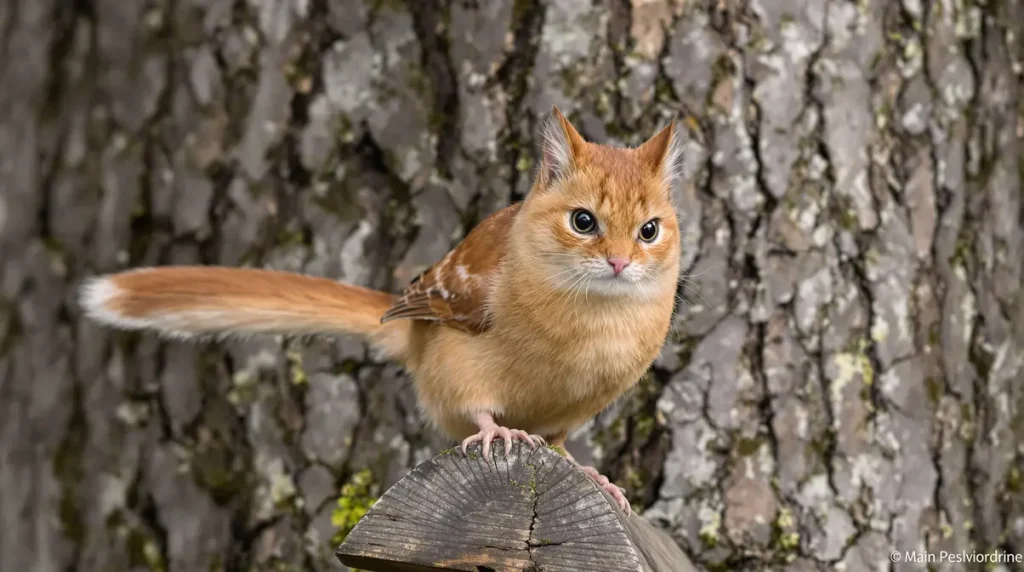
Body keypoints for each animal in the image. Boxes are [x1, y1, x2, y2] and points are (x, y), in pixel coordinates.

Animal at [79, 107, 683, 514]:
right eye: (582, 221)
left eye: (649, 230)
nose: (619, 262)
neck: (597, 313)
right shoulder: (467, 362)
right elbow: (481, 412)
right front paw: (499, 434)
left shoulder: (572, 412)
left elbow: (562, 447)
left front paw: (597, 477)